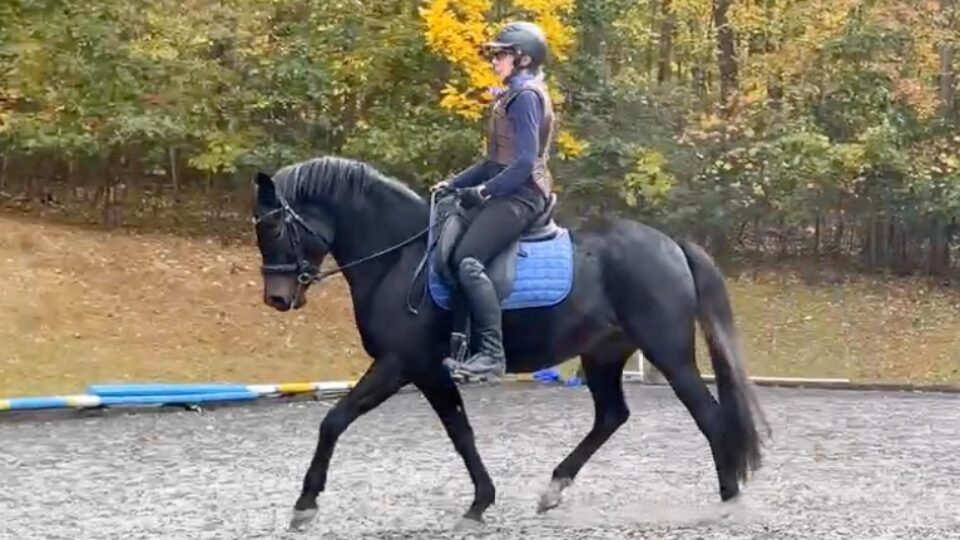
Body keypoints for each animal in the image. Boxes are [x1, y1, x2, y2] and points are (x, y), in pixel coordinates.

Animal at [250, 155, 770, 531]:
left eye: (273, 227)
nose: (276, 299)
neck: (399, 258)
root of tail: (671, 244)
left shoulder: (402, 363)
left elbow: (335, 421)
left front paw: (305, 505)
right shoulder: (429, 371)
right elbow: (461, 432)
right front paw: (481, 502)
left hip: (669, 353)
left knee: (709, 417)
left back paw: (729, 503)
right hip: (602, 353)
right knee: (611, 416)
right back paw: (553, 489)